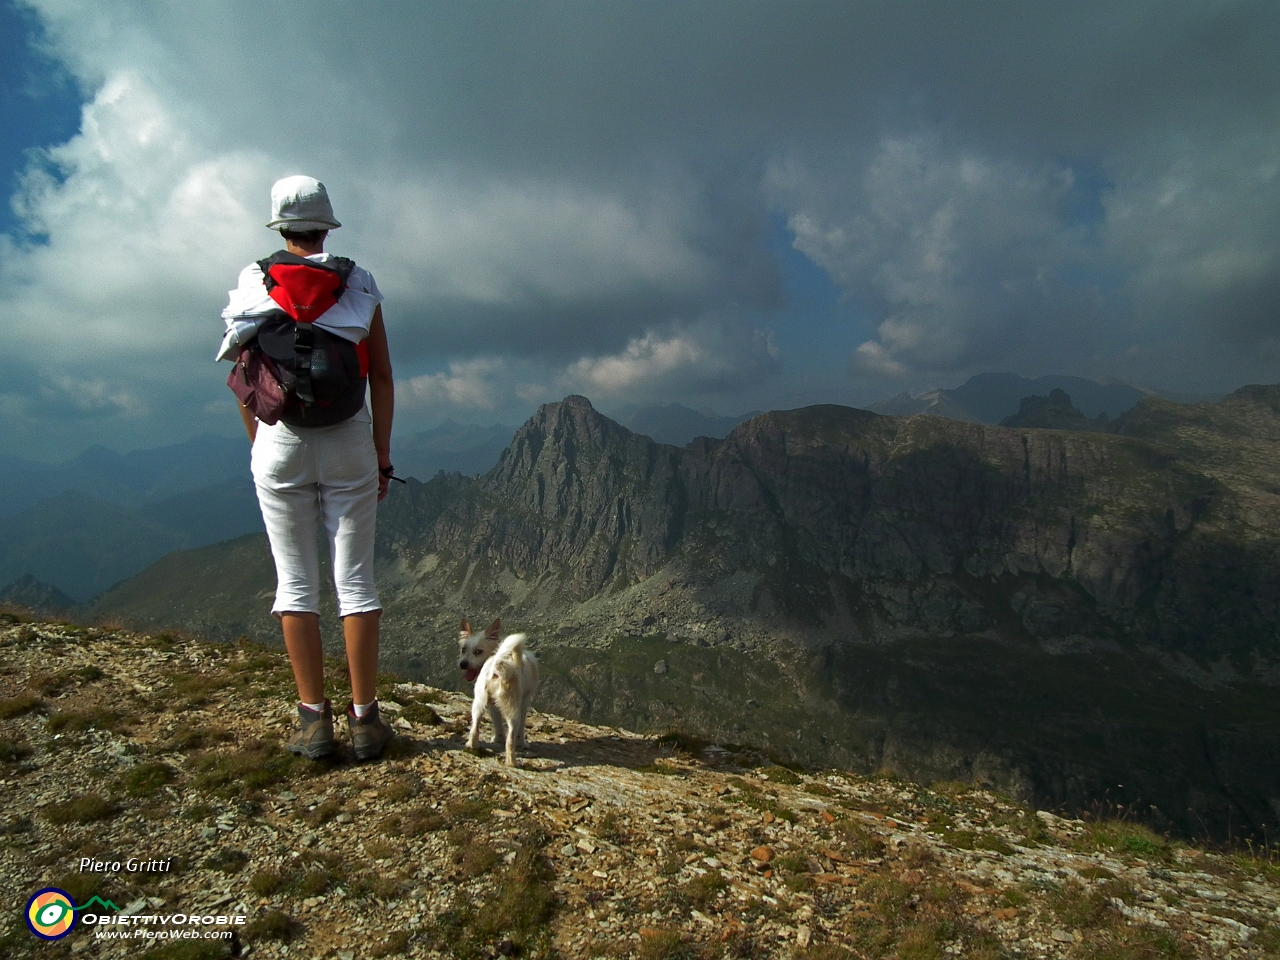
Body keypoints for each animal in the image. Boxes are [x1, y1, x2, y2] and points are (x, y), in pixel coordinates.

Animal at [458, 624, 537, 768]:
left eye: (478, 651)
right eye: (463, 650)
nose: (463, 664)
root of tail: (497, 665)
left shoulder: (491, 704)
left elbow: (497, 723)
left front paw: (497, 739)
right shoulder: (524, 702)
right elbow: (521, 730)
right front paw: (522, 744)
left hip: (477, 705)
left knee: (474, 730)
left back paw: (472, 747)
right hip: (513, 711)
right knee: (510, 739)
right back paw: (512, 762)